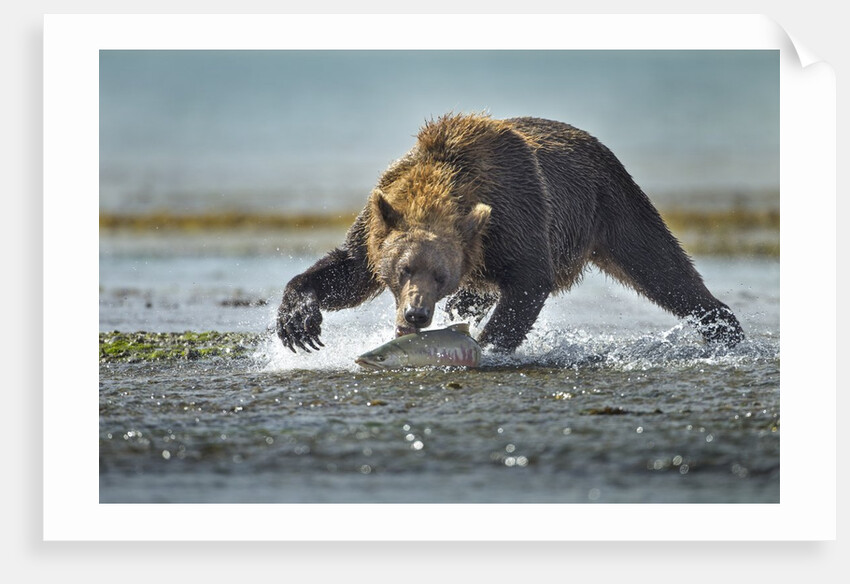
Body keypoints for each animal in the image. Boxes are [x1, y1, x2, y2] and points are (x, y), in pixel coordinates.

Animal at [276, 113, 744, 353]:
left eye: (439, 275)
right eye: (403, 269)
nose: (416, 314)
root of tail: (594, 141)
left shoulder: (513, 217)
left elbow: (529, 280)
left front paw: (489, 346)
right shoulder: (380, 219)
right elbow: (350, 271)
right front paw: (298, 323)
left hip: (611, 202)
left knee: (661, 268)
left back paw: (724, 327)